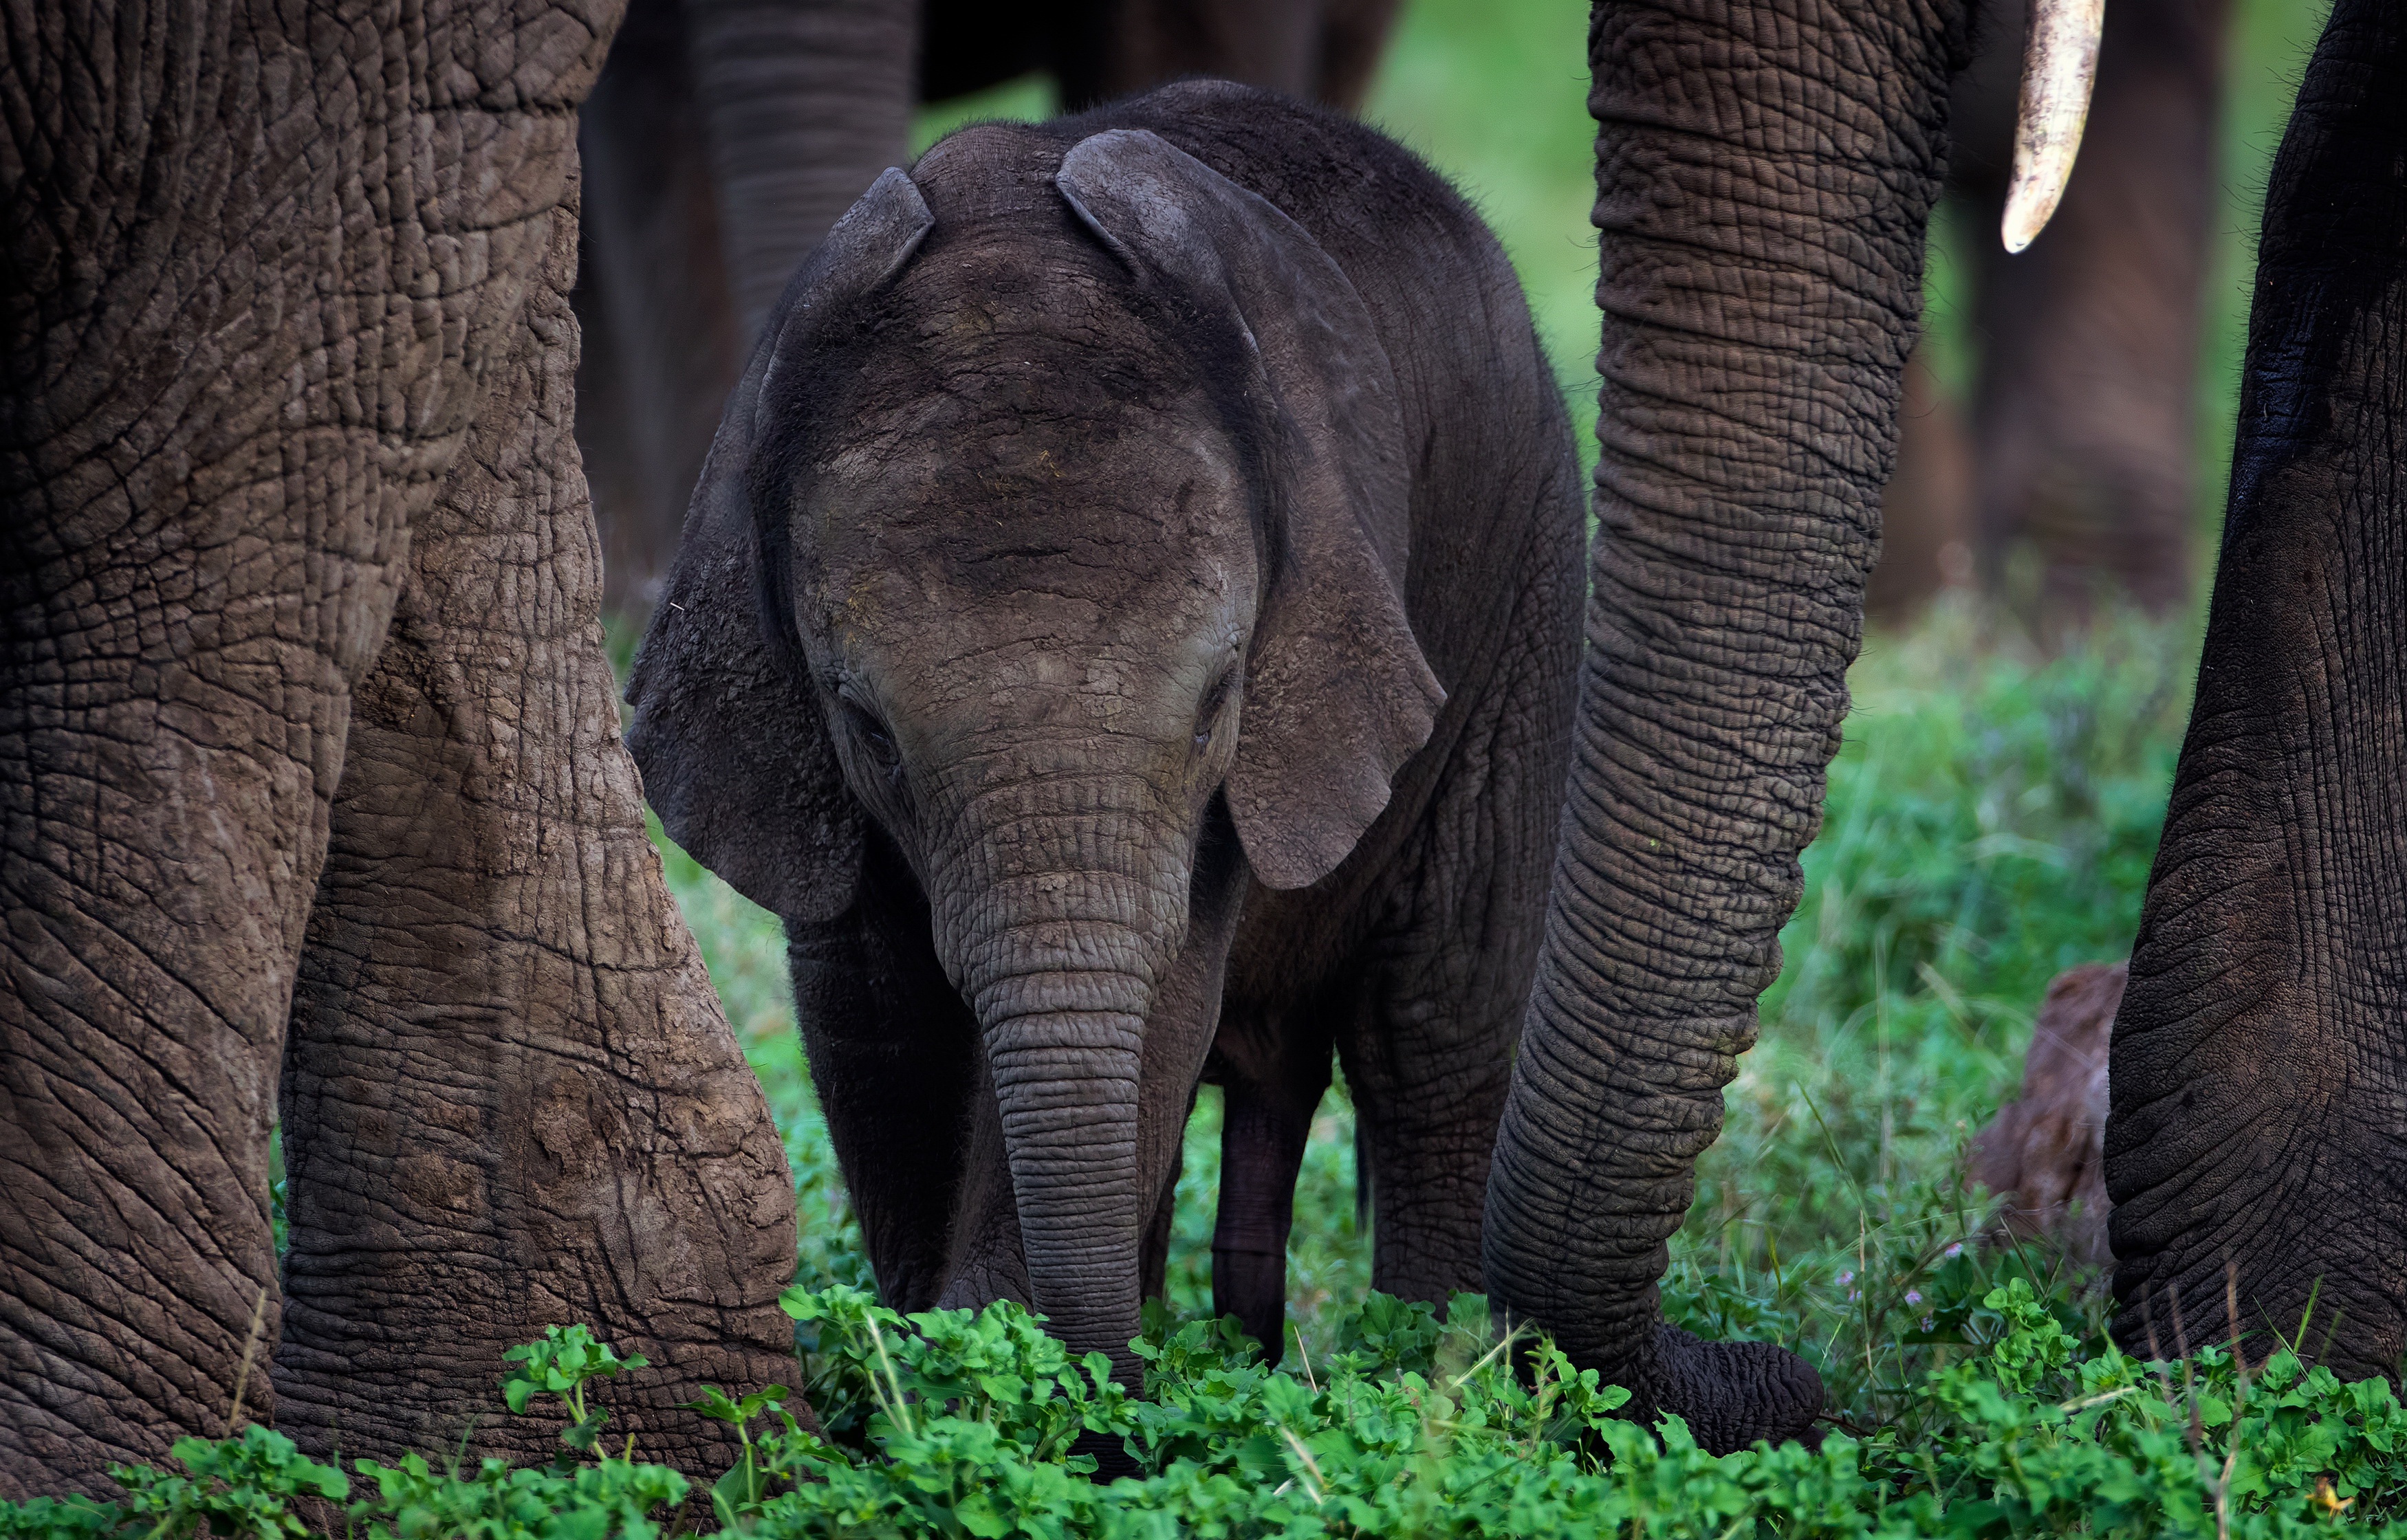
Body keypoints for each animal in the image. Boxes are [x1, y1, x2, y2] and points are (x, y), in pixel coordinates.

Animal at [625, 80, 1584, 1378]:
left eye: (1221, 699)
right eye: (867, 728)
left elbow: (1167, 993)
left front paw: (1000, 1365)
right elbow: (874, 1021)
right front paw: (944, 1361)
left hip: (1529, 561)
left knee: (1434, 1017)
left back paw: (1419, 1370)